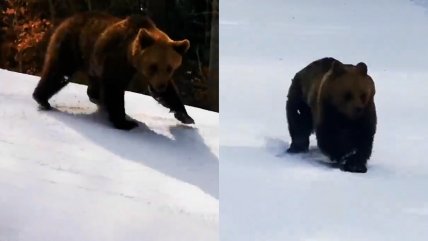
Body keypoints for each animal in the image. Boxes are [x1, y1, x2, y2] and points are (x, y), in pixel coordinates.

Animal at [32, 11, 193, 130]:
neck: (131, 58)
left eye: (169, 68)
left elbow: (170, 92)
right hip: (72, 47)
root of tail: (67, 20)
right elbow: (114, 90)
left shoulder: (142, 73)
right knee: (58, 72)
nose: (160, 87)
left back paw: (95, 97)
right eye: (153, 66)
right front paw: (125, 122)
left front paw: (186, 116)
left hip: (92, 61)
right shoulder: (117, 61)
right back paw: (42, 99)